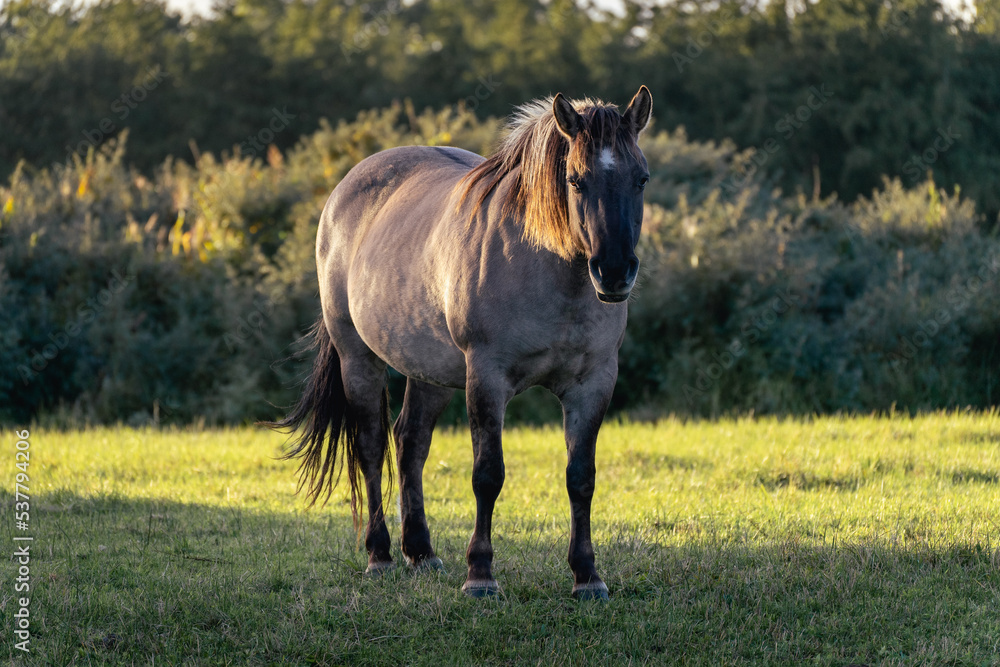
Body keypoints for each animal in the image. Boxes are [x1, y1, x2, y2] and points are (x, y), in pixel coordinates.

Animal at [267, 86, 653, 600]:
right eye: (575, 180)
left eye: (641, 179)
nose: (613, 272)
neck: (549, 269)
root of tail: (342, 194)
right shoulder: (486, 377)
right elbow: (488, 474)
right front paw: (481, 574)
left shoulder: (593, 383)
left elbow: (581, 478)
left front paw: (587, 575)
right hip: (359, 359)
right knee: (372, 447)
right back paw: (380, 555)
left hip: (429, 371)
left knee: (410, 443)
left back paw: (421, 552)